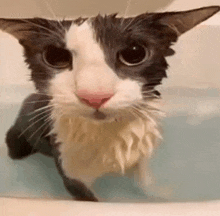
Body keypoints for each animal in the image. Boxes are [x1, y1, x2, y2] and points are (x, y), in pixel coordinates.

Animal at [0, 5, 219, 202]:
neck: (109, 133)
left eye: (134, 53)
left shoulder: (141, 151)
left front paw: (158, 194)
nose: (94, 96)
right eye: (55, 56)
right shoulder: (72, 173)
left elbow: (145, 179)